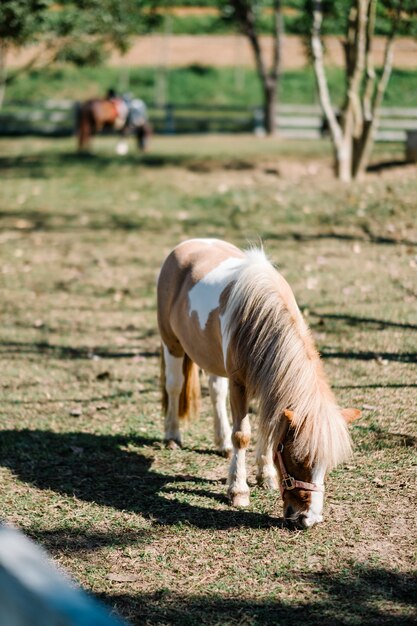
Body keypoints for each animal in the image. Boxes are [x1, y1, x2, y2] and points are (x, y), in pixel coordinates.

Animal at [156, 239, 358, 528]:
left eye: (327, 464)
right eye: (298, 458)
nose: (308, 519)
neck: (258, 315)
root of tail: (187, 244)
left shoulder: (268, 384)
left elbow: (267, 428)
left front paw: (266, 476)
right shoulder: (239, 384)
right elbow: (242, 434)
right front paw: (238, 491)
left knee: (215, 391)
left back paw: (222, 443)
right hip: (170, 343)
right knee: (174, 386)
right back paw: (172, 436)